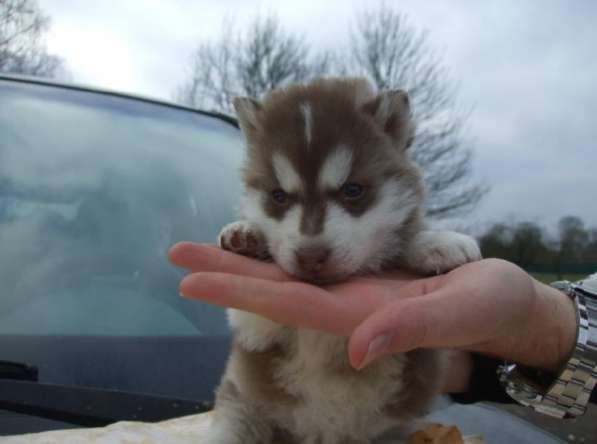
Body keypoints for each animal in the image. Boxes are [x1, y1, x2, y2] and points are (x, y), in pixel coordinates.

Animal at [208, 78, 480, 442]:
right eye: (278, 196)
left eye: (353, 190)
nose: (310, 257)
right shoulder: (251, 333)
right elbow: (255, 312)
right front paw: (247, 234)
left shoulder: (417, 353)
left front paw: (435, 241)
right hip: (242, 412)